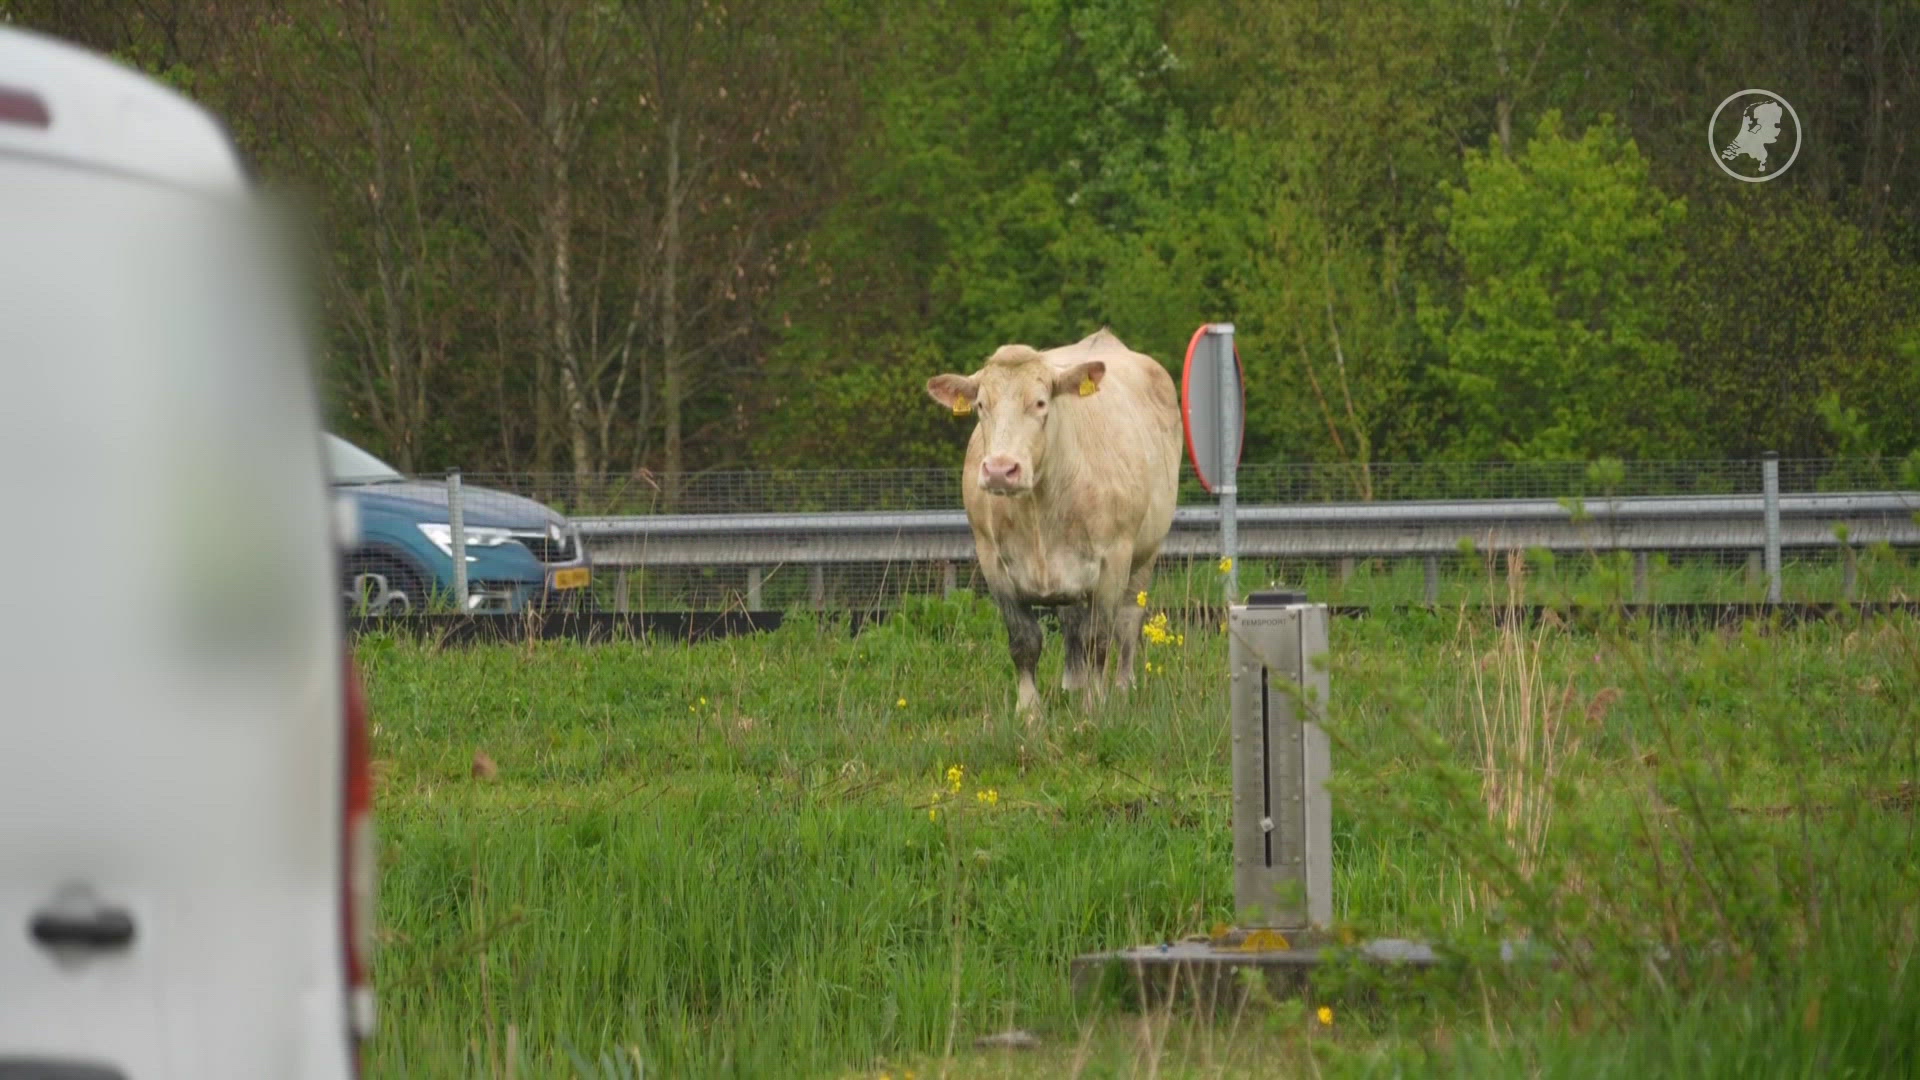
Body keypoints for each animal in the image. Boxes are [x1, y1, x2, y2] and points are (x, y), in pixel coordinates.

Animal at [925, 328, 1183, 716]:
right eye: (981, 405)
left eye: (1041, 403)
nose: (1000, 470)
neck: (1038, 511)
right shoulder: (993, 564)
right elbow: (1025, 641)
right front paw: (1030, 712)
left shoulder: (1113, 561)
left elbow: (1099, 639)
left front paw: (1094, 707)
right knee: (1071, 620)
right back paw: (1072, 686)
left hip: (1146, 552)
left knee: (1126, 623)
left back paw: (1123, 688)